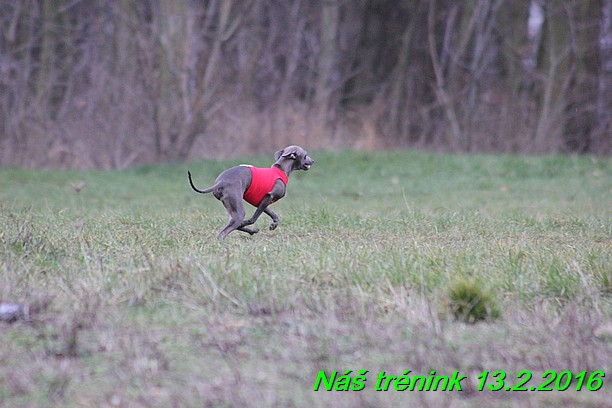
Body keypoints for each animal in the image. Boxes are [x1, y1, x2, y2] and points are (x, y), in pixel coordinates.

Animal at [186, 145, 314, 239]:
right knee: (224, 232)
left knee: (232, 224)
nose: (313, 160)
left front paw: (274, 224)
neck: (280, 169)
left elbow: (273, 214)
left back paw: (251, 230)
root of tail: (220, 182)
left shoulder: (261, 201)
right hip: (238, 210)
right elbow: (253, 219)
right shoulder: (269, 196)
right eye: (305, 155)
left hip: (231, 208)